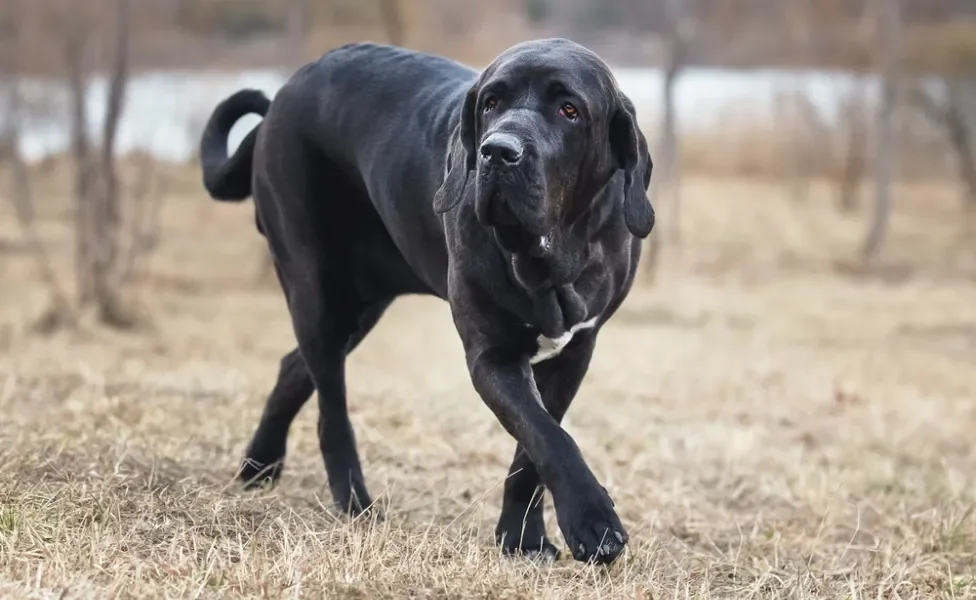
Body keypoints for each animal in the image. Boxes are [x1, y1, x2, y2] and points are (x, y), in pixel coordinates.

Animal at [198, 38, 656, 568]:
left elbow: (532, 450)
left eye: (569, 110)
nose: (498, 151)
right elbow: (547, 437)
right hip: (315, 288)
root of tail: (281, 97)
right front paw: (592, 521)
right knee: (331, 408)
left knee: (294, 366)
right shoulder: (493, 356)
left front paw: (522, 539)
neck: (550, 255)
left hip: (361, 304)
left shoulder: (575, 352)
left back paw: (260, 464)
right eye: (491, 103)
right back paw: (354, 503)